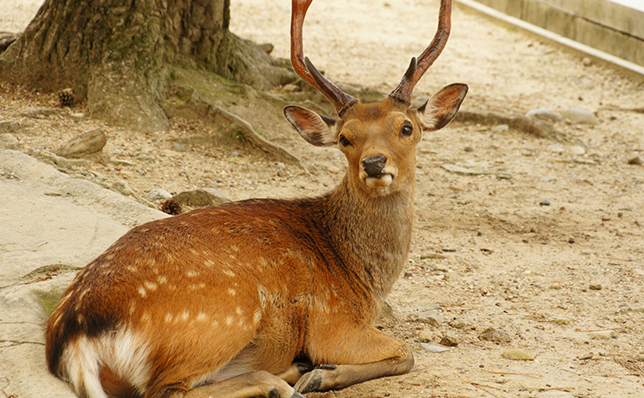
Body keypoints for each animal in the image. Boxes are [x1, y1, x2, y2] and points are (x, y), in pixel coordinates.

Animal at [46, 0, 468, 398]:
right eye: (345, 137)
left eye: (406, 127)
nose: (375, 162)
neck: (361, 277)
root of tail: (76, 336)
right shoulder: (332, 324)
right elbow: (407, 352)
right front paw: (323, 374)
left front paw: (314, 371)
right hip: (226, 312)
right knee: (166, 389)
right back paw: (283, 382)